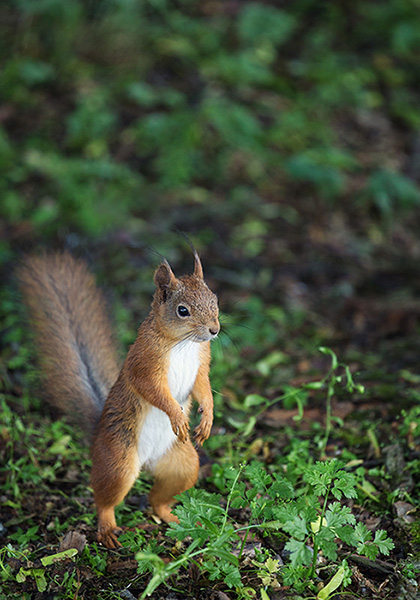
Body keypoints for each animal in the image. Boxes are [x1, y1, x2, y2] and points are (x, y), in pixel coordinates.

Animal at [18, 248, 220, 548]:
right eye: (182, 310)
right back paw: (107, 529)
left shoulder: (201, 364)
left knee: (157, 500)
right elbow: (154, 391)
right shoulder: (144, 365)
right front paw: (177, 416)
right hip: (119, 462)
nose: (214, 330)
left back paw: (175, 519)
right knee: (105, 500)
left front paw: (206, 420)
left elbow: (203, 389)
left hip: (183, 467)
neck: (182, 344)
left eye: (215, 299)